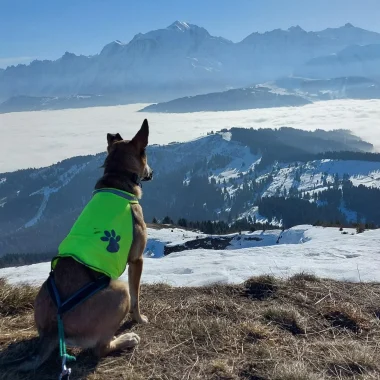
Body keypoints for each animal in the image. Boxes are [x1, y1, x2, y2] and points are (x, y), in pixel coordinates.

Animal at [18, 119, 153, 372]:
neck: (117, 177)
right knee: (100, 349)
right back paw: (127, 339)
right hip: (119, 291)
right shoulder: (137, 260)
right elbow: (137, 296)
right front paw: (140, 320)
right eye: (147, 154)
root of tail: (53, 329)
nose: (152, 172)